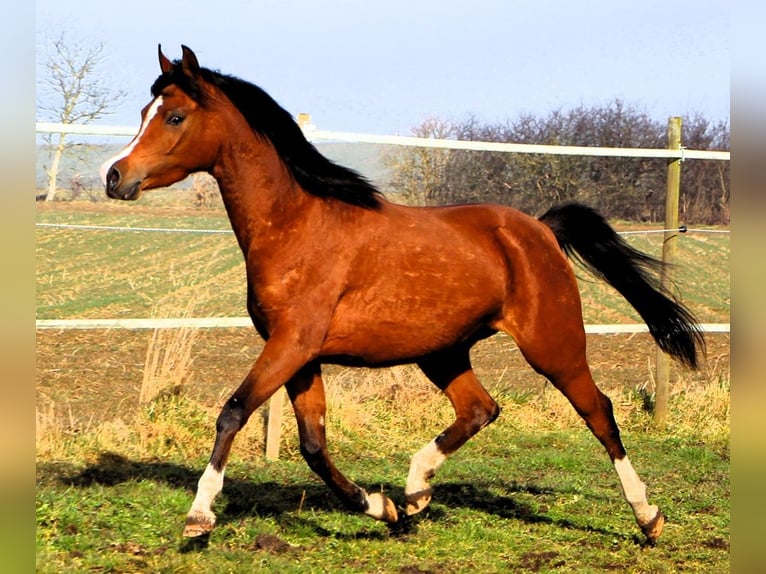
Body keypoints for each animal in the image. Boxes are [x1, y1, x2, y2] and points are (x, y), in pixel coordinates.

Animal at [102, 47, 708, 548]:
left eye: (174, 116)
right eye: (145, 111)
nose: (114, 177)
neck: (295, 225)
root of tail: (538, 228)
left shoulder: (290, 345)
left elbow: (233, 412)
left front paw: (199, 517)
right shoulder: (299, 354)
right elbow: (313, 445)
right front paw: (383, 507)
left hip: (553, 345)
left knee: (598, 413)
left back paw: (648, 518)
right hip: (443, 351)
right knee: (480, 408)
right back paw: (416, 492)